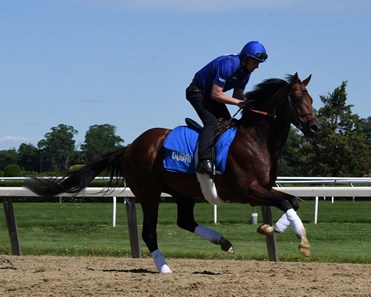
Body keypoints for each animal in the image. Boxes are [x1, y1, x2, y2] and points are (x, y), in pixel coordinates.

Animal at [25, 73, 322, 272]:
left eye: (311, 97)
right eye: (297, 98)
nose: (315, 127)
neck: (256, 139)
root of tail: (130, 147)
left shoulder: (263, 188)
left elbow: (292, 201)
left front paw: (272, 227)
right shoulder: (247, 190)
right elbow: (287, 201)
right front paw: (300, 241)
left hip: (183, 192)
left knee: (185, 221)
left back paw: (223, 241)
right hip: (148, 193)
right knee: (149, 232)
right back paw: (164, 268)